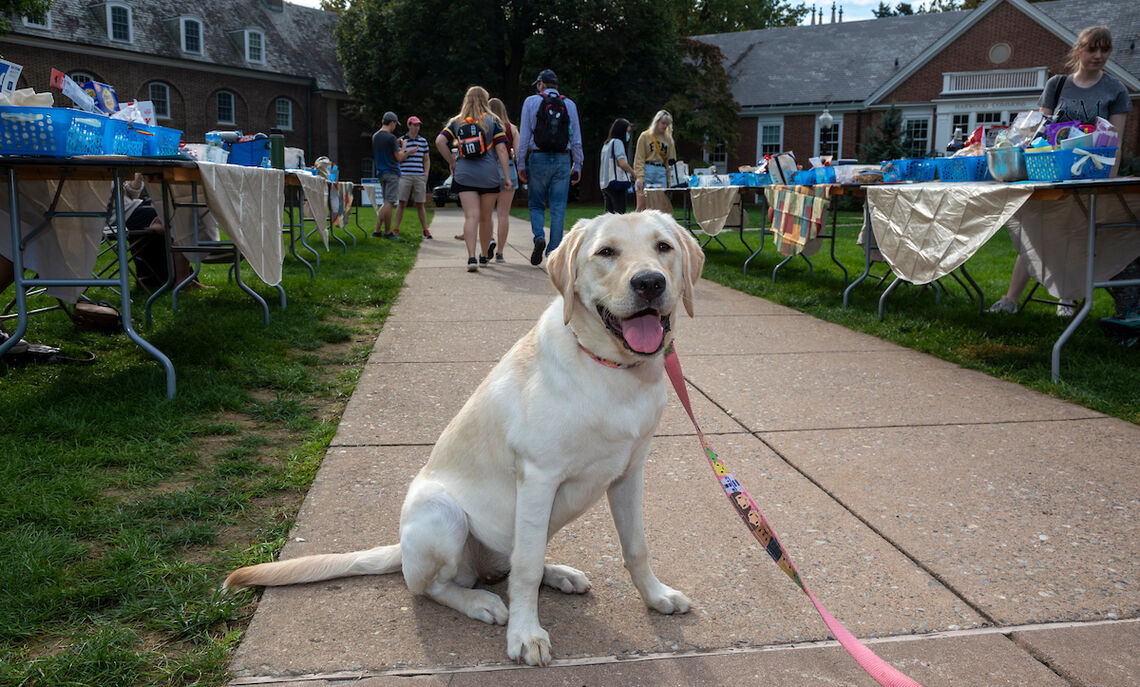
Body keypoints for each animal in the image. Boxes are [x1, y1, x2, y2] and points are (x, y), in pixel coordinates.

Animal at [223, 209, 702, 665]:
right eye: (606, 252)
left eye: (663, 247)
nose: (649, 283)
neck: (613, 370)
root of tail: (401, 549)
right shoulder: (539, 478)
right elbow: (526, 569)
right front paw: (526, 634)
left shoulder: (629, 473)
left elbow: (636, 547)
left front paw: (656, 596)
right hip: (443, 515)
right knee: (435, 585)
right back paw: (479, 602)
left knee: (512, 560)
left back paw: (559, 574)